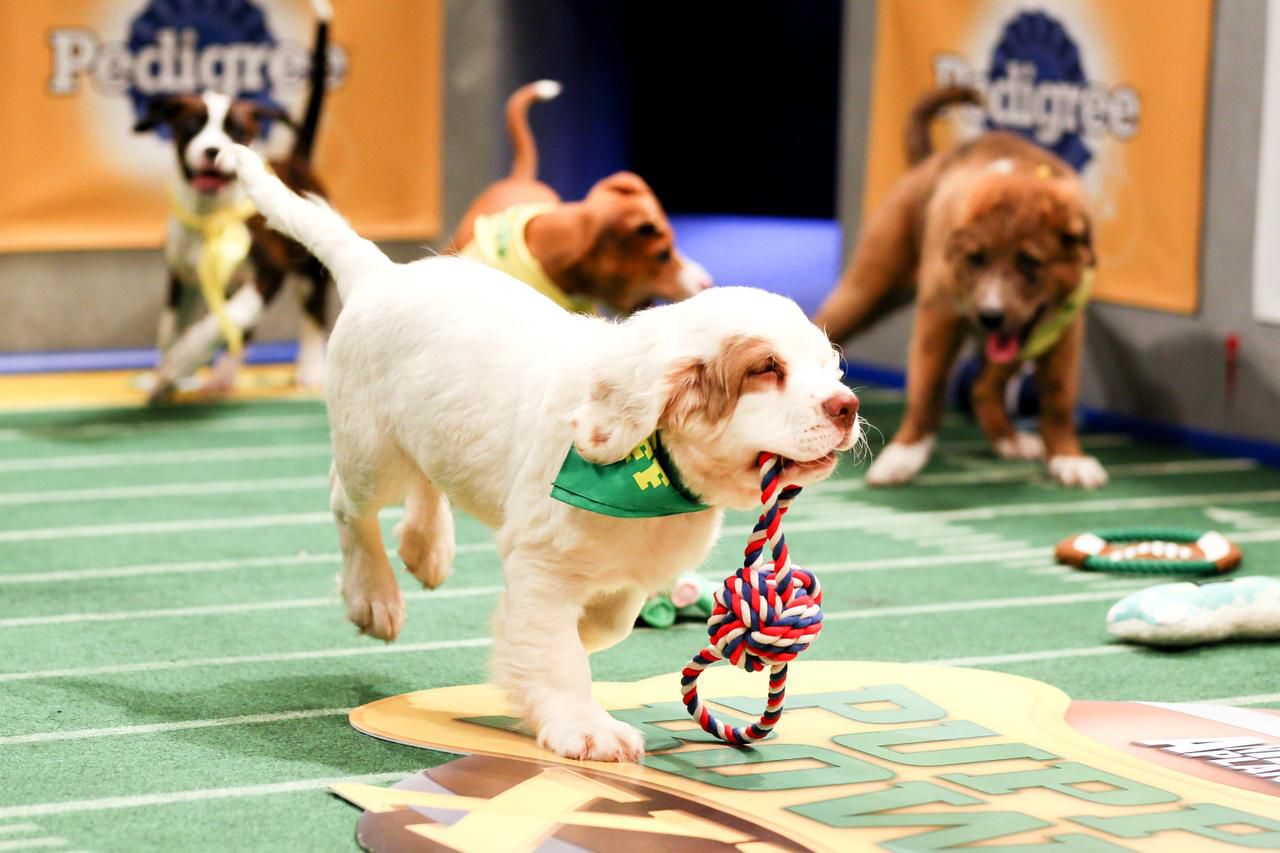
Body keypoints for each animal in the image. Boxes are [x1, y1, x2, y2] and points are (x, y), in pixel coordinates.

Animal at [132, 0, 332, 399]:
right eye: (191, 126)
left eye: (236, 130)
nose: (213, 150)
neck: (209, 216)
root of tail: (297, 160)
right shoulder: (182, 277)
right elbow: (170, 328)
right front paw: (164, 377)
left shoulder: (269, 273)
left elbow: (222, 323)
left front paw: (184, 359)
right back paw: (223, 377)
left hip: (307, 270)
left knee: (313, 314)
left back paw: (310, 369)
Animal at [217, 142, 860, 758]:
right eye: (765, 369)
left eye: (830, 365)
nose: (847, 406)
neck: (654, 470)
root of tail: (381, 275)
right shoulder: (542, 561)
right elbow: (557, 649)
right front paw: (584, 728)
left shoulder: (631, 570)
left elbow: (605, 622)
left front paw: (549, 640)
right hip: (372, 452)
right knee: (349, 506)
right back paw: (373, 597)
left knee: (426, 479)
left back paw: (426, 546)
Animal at [819, 87, 1111, 489]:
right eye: (975, 259)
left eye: (1029, 263)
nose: (990, 315)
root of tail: (930, 161)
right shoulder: (939, 314)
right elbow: (927, 389)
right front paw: (904, 455)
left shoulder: (1062, 328)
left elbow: (1058, 396)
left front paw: (1068, 458)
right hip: (868, 287)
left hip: (1021, 337)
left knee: (983, 387)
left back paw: (1009, 439)